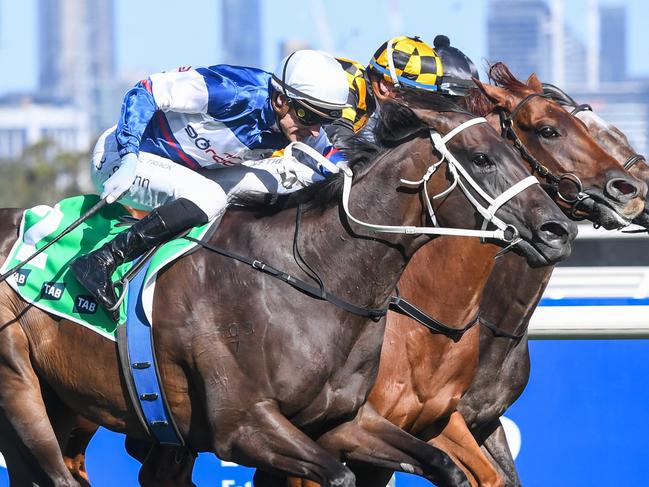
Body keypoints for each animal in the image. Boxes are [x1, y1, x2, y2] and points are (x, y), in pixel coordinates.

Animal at [0, 93, 572, 486]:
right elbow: (336, 475)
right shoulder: (245, 427)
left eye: (516, 151)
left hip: (63, 400)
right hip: (21, 389)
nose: (558, 231)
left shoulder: (346, 422)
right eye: (481, 158)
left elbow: (446, 468)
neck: (312, 281)